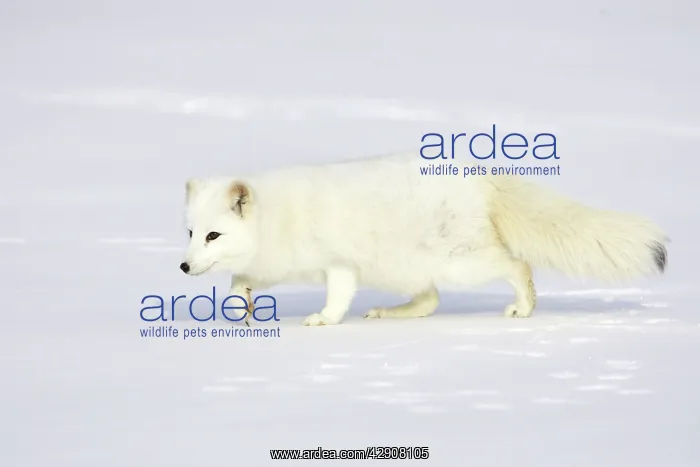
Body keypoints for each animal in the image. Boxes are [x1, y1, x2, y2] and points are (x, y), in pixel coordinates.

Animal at [180, 152, 668, 326]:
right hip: (408, 267)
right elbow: (238, 283)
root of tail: (482, 177)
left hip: (461, 262)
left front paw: (322, 320)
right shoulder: (275, 263)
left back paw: (524, 308)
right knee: (430, 301)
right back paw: (389, 313)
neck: (279, 217)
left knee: (517, 265)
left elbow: (337, 299)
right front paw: (241, 311)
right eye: (190, 233)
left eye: (213, 234)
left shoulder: (340, 264)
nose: (183, 265)